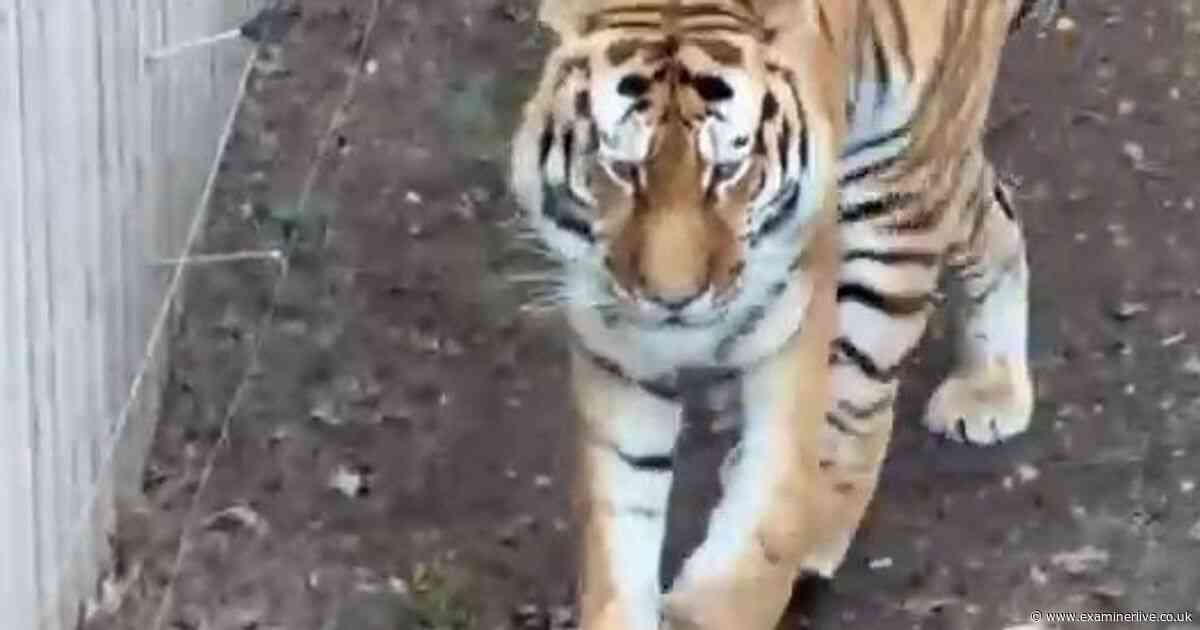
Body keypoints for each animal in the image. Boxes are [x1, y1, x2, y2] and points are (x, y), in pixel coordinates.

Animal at [508, 1, 1060, 628]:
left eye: (728, 170)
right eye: (622, 168)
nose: (674, 299)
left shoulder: (790, 340)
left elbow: (760, 532)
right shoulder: (620, 353)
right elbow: (620, 522)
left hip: (898, 189)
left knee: (857, 404)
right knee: (994, 208)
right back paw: (989, 386)